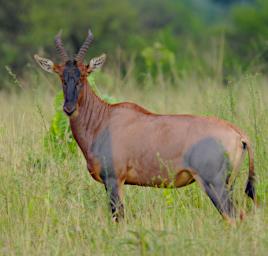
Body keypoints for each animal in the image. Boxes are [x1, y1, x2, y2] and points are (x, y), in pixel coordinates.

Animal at [34, 29, 256, 223]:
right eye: (61, 76)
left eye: (83, 74)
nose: (69, 108)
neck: (103, 120)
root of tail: (239, 134)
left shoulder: (114, 180)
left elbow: (118, 218)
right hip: (228, 184)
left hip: (214, 184)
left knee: (234, 217)